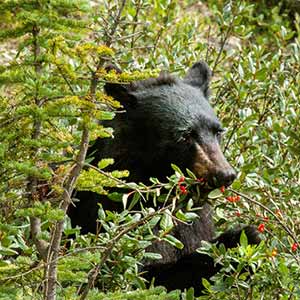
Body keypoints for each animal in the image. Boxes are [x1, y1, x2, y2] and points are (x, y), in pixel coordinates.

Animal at [67, 61, 258, 296]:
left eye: (217, 131)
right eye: (185, 136)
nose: (225, 174)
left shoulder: (195, 219)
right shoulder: (118, 214)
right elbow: (146, 276)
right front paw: (239, 239)